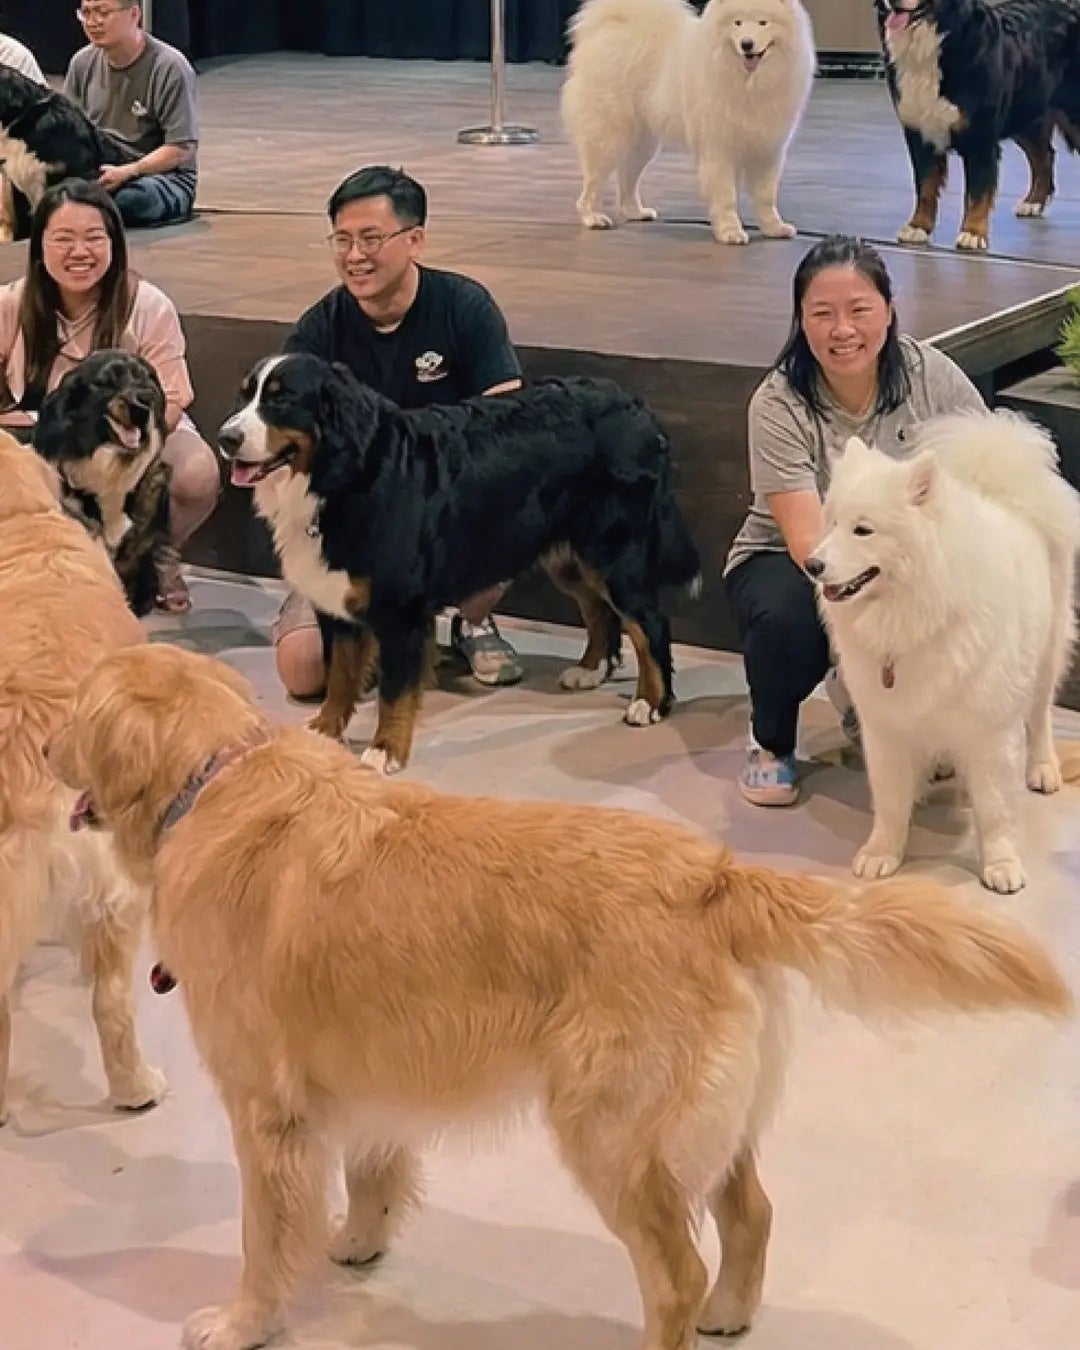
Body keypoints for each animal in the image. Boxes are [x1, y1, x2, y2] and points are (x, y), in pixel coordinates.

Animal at [48, 641, 1071, 1350]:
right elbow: (373, 1172)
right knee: (750, 1216)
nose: (47, 744)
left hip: (609, 1131)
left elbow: (263, 1238)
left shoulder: (266, 1109)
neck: (214, 781)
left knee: (675, 1273)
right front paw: (358, 1240)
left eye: (79, 713)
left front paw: (242, 1320)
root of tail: (715, 873)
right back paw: (732, 1312)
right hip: (703, 1124)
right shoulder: (373, 1070)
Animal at [217, 352, 702, 774]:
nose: (226, 438)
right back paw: (590, 670)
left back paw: (650, 702)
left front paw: (385, 749)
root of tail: (637, 407)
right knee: (599, 610)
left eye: (281, 399)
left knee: (649, 623)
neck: (343, 477)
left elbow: (394, 691)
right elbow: (339, 674)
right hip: (570, 557)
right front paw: (324, 730)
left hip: (614, 554)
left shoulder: (400, 611)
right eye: (245, 395)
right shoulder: (337, 603)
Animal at [560, 0, 816, 244]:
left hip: (642, 143)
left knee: (627, 178)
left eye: (763, 22)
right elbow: (726, 197)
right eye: (737, 23)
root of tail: (610, 27)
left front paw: (774, 228)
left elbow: (766, 196)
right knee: (593, 182)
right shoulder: (719, 149)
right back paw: (593, 217)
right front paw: (730, 232)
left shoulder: (767, 149)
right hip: (608, 134)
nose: (747, 44)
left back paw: (636, 212)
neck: (748, 83)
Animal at [806, 409, 1080, 892]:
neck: (915, 617)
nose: (812, 565)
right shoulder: (886, 724)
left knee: (1040, 713)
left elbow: (994, 807)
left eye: (863, 530)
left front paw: (1001, 864)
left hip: (1046, 650)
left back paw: (1042, 766)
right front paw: (882, 853)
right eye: (832, 523)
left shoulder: (988, 728)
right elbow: (890, 801)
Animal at [876, 0, 1080, 251]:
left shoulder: (981, 137)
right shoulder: (919, 133)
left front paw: (972, 233)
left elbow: (978, 191)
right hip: (1026, 112)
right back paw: (1032, 203)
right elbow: (925, 186)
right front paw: (918, 227)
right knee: (1044, 157)